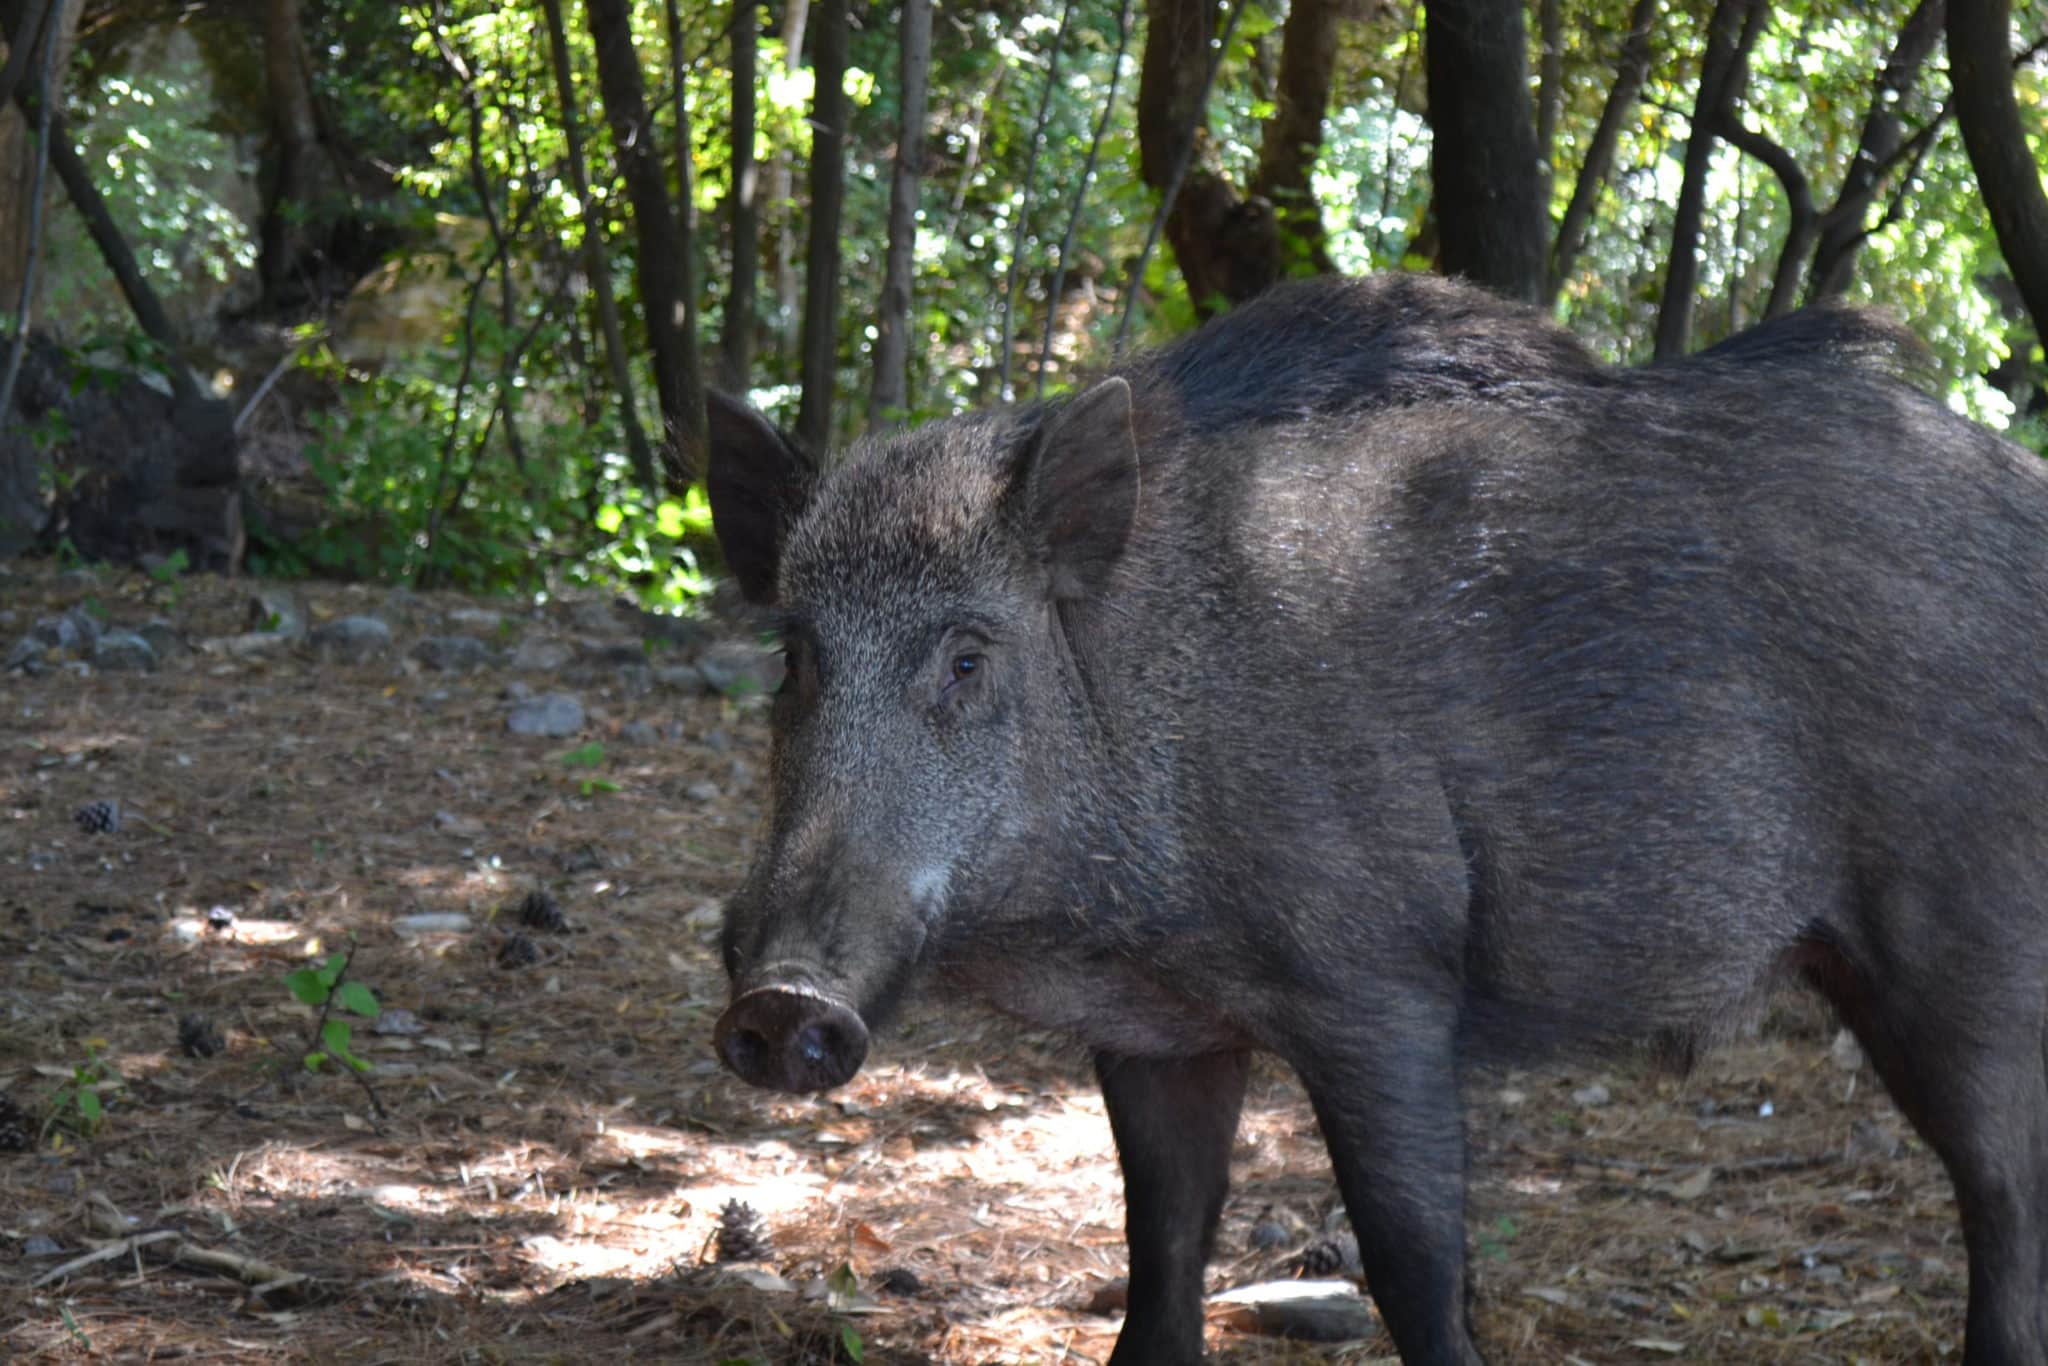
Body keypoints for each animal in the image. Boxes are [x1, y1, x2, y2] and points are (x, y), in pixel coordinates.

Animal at [705, 271, 2048, 1365]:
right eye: (793, 654)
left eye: (967, 657)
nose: (778, 1003)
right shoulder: (1159, 1032)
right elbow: (1162, 1246)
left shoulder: (1381, 984)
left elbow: (1412, 1264)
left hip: (1961, 939)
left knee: (2004, 1191)